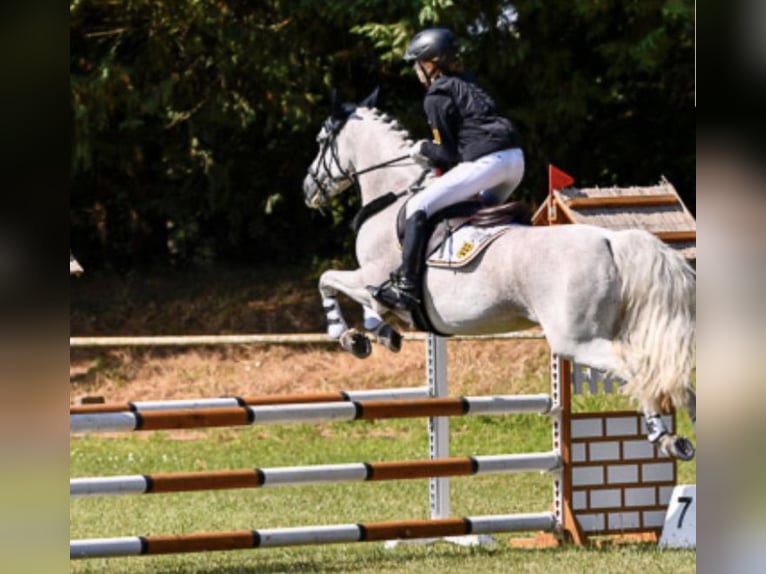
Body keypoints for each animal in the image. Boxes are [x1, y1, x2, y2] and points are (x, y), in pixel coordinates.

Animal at [304, 91, 700, 464]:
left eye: (321, 140)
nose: (308, 189)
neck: (393, 192)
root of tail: (611, 239)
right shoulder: (375, 285)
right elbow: (362, 302)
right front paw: (379, 334)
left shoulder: (370, 277)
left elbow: (329, 280)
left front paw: (347, 336)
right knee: (671, 374)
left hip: (576, 341)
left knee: (638, 367)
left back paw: (663, 435)